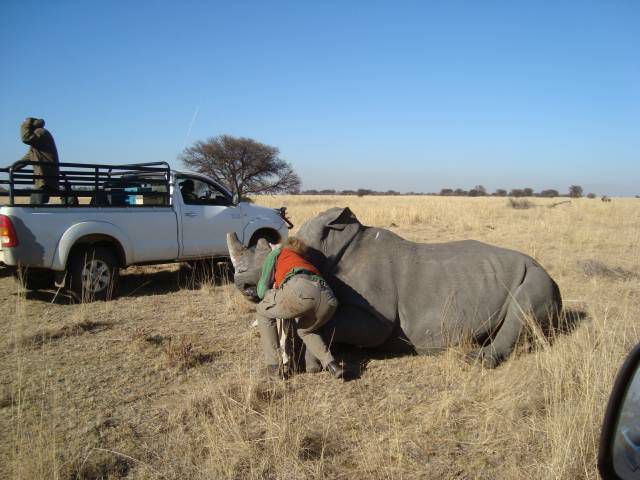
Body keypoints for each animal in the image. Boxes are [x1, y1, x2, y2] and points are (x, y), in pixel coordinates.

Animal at [228, 206, 564, 368]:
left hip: (536, 277)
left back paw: (474, 361)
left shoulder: (378, 319)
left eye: (271, 261)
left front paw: (313, 365)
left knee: (522, 310)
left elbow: (331, 325)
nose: (243, 285)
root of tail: (552, 276)